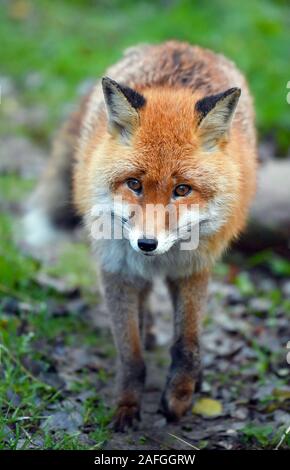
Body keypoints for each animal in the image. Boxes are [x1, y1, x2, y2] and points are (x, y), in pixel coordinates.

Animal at [23, 40, 258, 430]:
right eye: (134, 184)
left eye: (182, 190)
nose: (147, 243)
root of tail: (179, 44)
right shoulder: (117, 269)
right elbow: (130, 355)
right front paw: (128, 405)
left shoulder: (193, 268)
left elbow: (188, 343)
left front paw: (179, 397)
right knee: (145, 300)